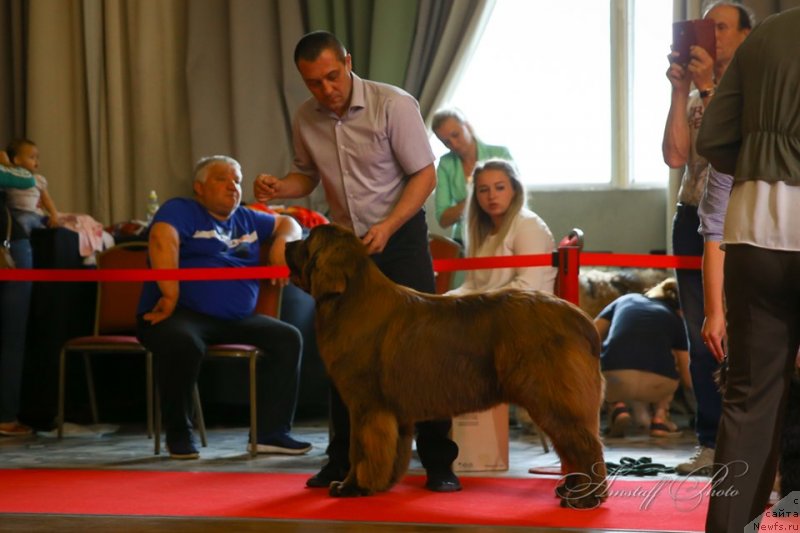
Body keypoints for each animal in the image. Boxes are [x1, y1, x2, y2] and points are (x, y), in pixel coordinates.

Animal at [286, 224, 608, 508]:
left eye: (308, 241)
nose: (288, 244)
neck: (349, 298)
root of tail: (580, 318)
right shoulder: (393, 412)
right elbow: (391, 451)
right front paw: (382, 483)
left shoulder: (367, 405)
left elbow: (361, 449)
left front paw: (352, 486)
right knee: (573, 446)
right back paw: (571, 489)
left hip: (551, 397)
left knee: (586, 446)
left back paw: (585, 498)